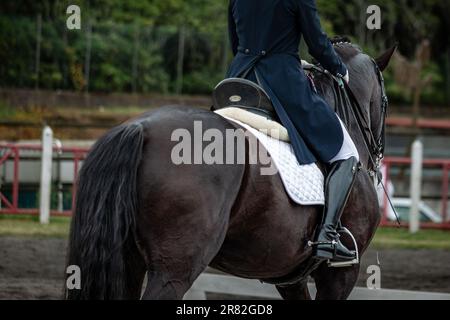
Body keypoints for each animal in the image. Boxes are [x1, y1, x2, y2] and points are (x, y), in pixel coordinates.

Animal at [65, 41, 396, 298]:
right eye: (385, 100)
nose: (378, 157)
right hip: (174, 269)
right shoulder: (340, 274)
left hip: (130, 262)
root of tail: (138, 128)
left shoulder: (290, 277)